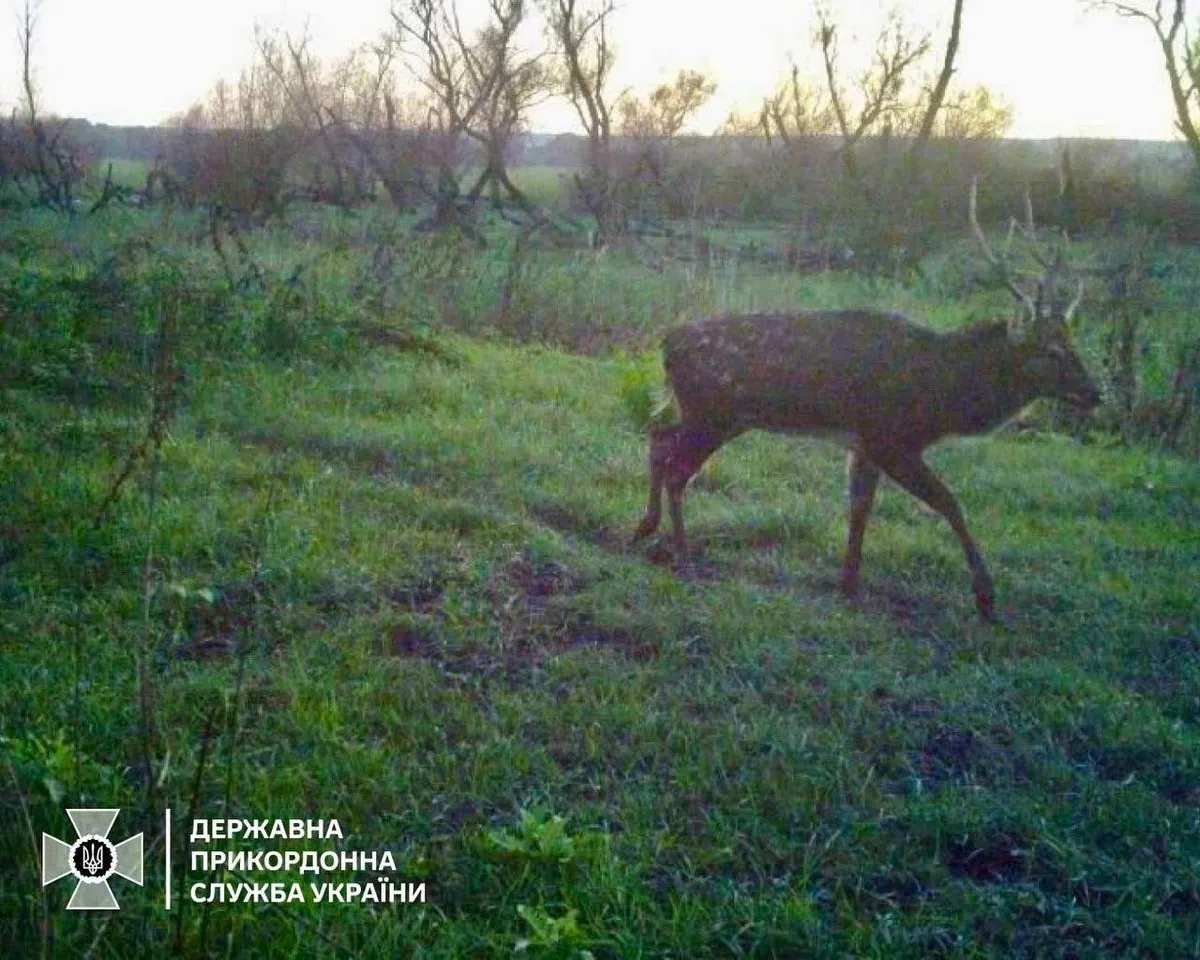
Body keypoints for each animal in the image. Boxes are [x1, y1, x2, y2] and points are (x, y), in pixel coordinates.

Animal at [633, 177, 1099, 624]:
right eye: (1051, 352)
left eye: (1073, 342)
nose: (1095, 392)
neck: (941, 394)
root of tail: (667, 344)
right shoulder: (889, 437)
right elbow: (949, 502)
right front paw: (985, 598)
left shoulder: (864, 444)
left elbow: (860, 507)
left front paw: (849, 583)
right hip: (714, 412)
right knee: (677, 469)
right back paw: (683, 555)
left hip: (705, 412)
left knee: (659, 436)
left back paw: (646, 527)